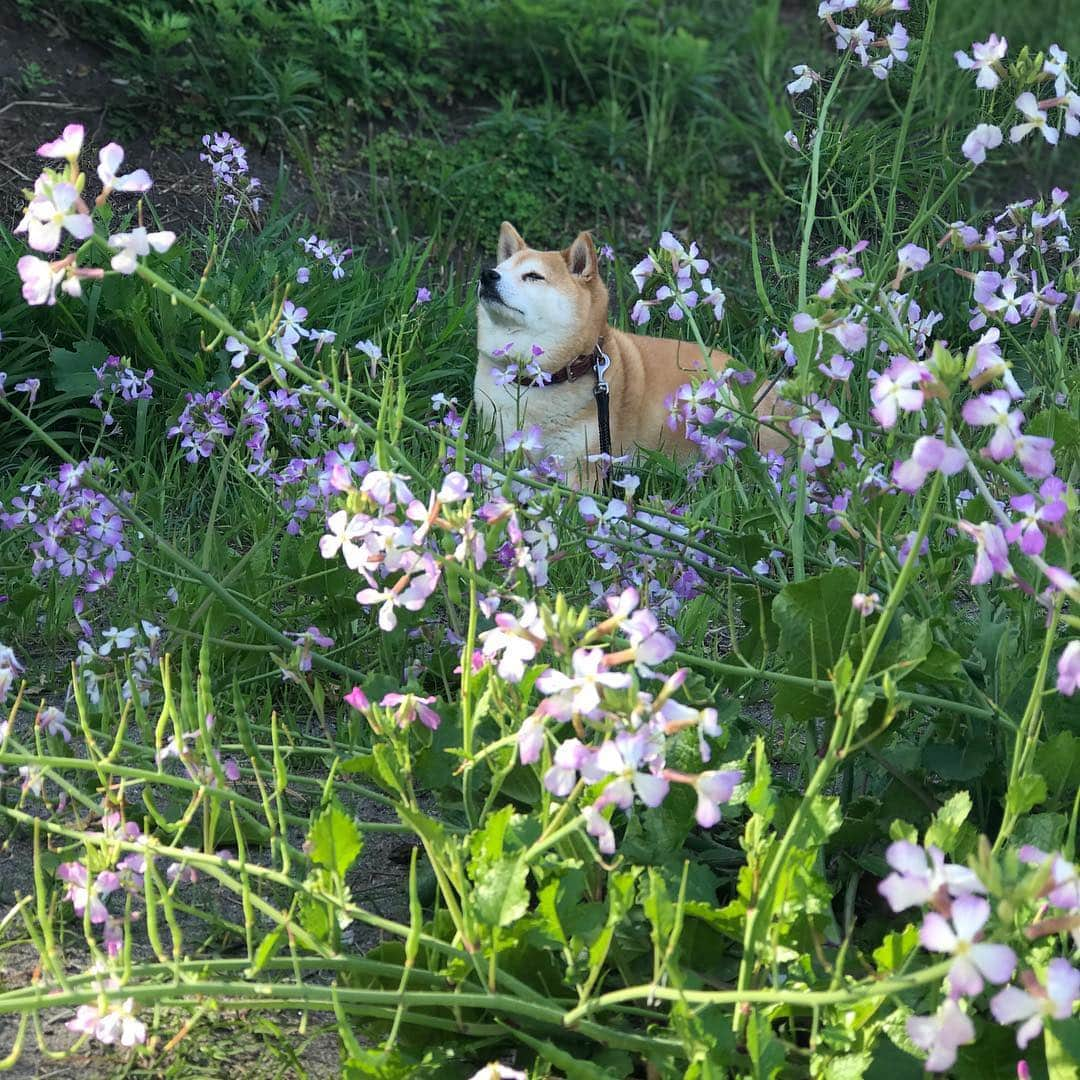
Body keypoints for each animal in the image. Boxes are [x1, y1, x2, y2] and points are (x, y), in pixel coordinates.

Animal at [475, 221, 786, 483]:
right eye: (502, 267)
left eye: (533, 276)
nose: (487, 274)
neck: (538, 380)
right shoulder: (498, 446)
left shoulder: (585, 464)